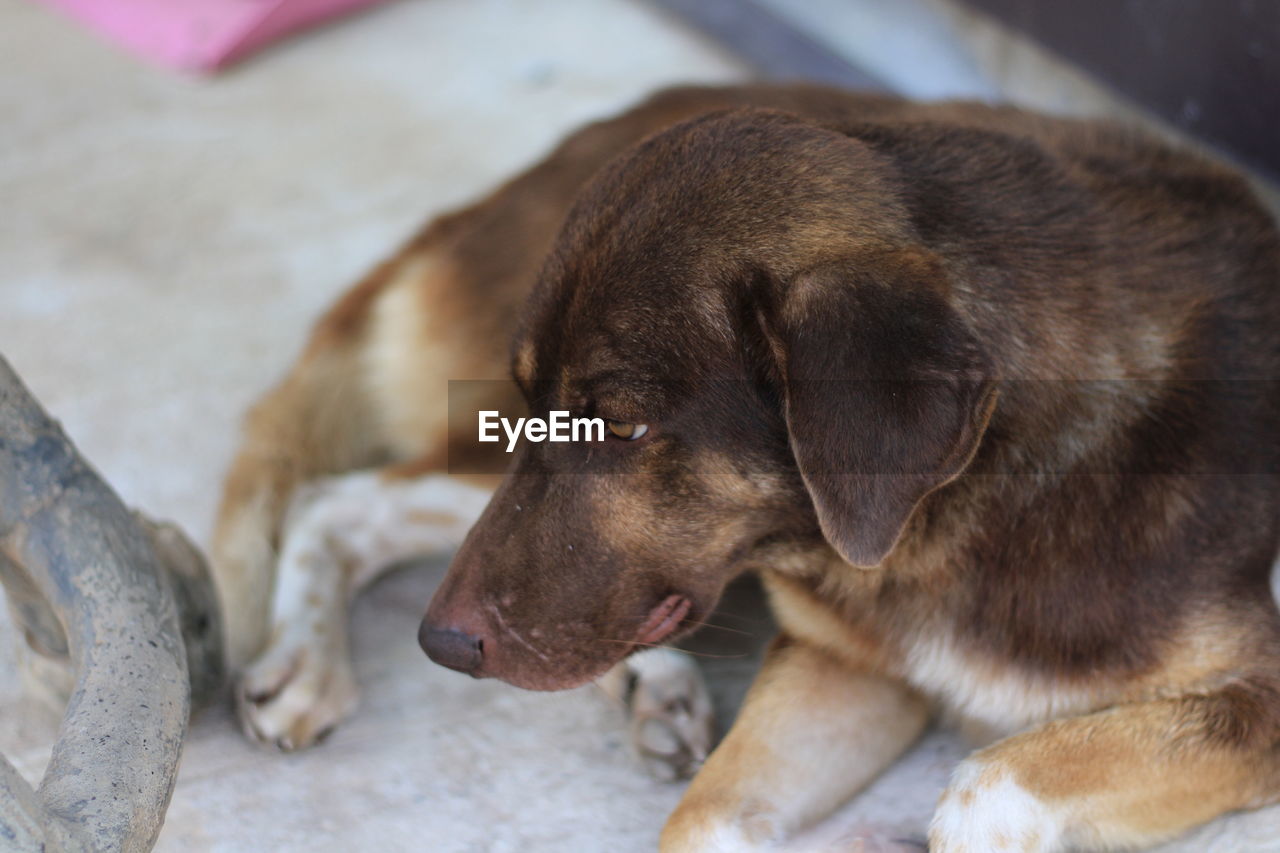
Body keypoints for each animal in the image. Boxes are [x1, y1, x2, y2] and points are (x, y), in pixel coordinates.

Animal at [212, 83, 1280, 845]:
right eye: (544, 401)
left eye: (622, 426)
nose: (439, 646)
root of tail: (481, 202)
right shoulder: (839, 661)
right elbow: (699, 819)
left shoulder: (1251, 699)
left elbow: (988, 781)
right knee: (340, 497)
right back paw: (308, 659)